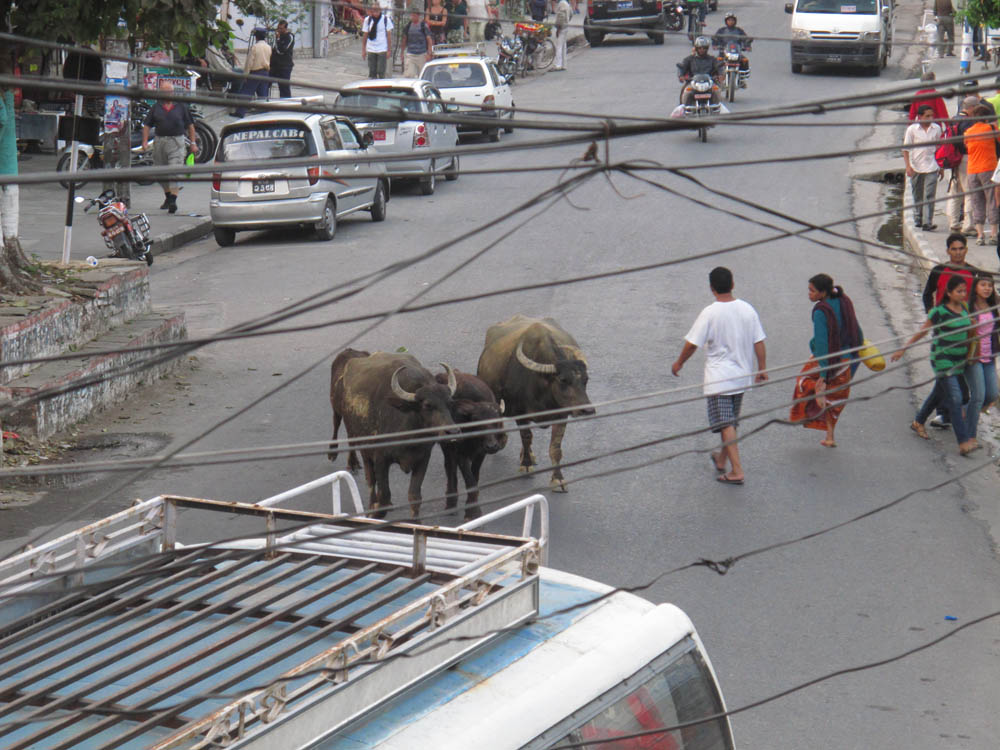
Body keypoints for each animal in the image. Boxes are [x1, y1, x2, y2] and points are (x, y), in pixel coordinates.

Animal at [330, 352, 458, 516]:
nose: (452, 431)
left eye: (450, 403)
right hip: (363, 447)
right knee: (370, 480)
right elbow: (384, 495)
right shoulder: (380, 459)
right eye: (427, 405)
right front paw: (376, 512)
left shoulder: (423, 458)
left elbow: (414, 496)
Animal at [434, 368, 508, 520]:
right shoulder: (461, 454)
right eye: (478, 422)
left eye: (496, 421)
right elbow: (469, 480)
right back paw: (451, 502)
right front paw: (473, 512)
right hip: (447, 447)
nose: (492, 446)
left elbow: (475, 477)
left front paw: (472, 507)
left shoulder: (480, 453)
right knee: (449, 468)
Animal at [476, 312, 592, 494]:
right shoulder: (520, 413)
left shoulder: (561, 414)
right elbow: (526, 436)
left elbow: (555, 448)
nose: (587, 410)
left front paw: (558, 479)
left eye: (586, 379)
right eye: (562, 380)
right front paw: (526, 465)